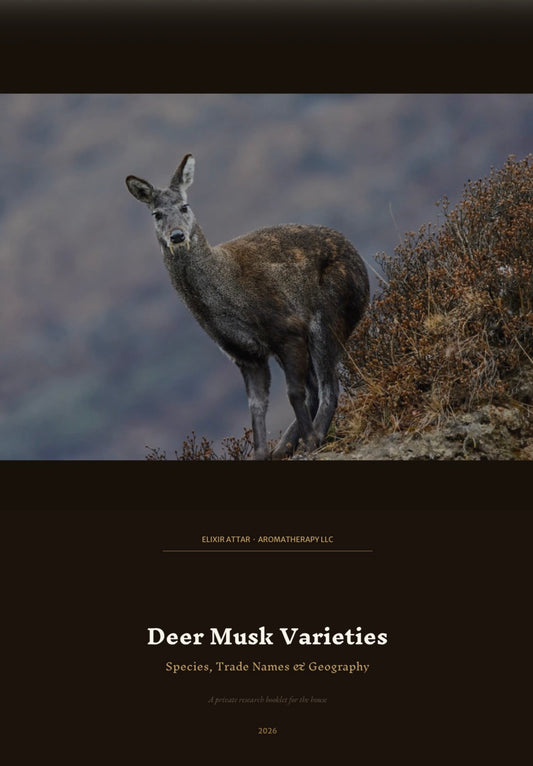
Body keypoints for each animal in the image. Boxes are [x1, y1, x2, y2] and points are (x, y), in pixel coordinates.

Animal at [126, 154, 369, 460]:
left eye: (184, 205)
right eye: (156, 214)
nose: (178, 235)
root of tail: (363, 270)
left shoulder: (287, 328)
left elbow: (293, 392)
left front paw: (311, 440)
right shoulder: (245, 354)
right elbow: (256, 405)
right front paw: (261, 453)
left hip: (329, 314)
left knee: (328, 386)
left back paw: (313, 439)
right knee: (317, 387)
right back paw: (283, 447)